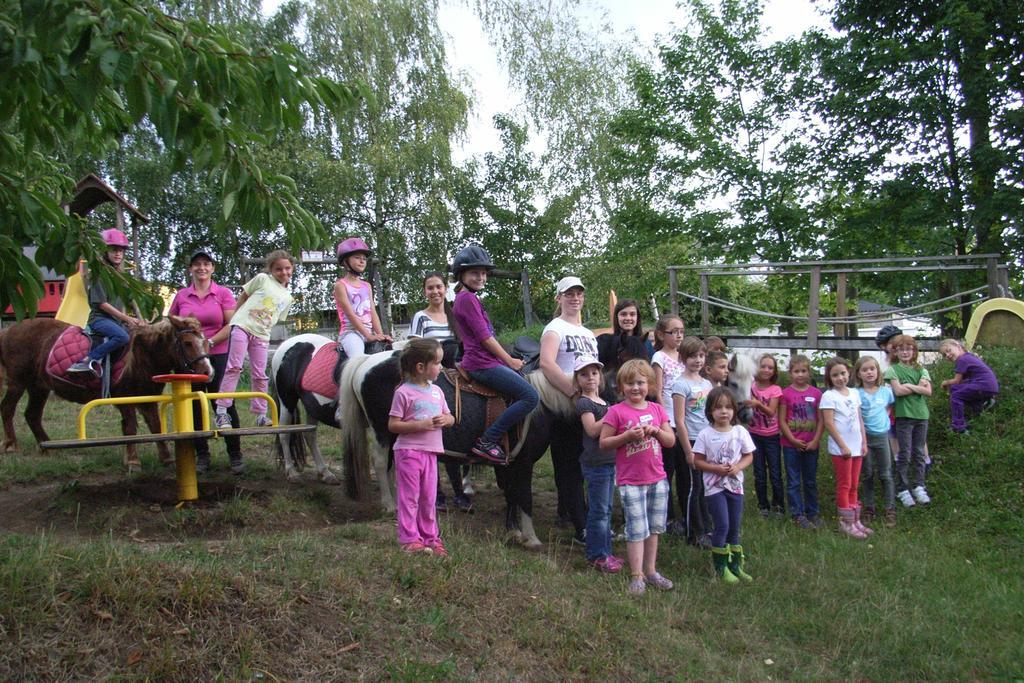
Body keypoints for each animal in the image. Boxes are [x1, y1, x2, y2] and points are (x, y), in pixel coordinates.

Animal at [0, 317, 212, 471]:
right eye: (187, 343)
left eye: (206, 343)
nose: (208, 371)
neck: (142, 354)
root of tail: (8, 331)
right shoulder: (126, 399)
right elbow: (130, 428)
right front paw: (133, 461)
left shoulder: (148, 398)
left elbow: (155, 426)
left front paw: (167, 459)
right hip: (18, 382)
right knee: (8, 409)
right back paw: (11, 445)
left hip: (39, 387)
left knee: (32, 415)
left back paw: (46, 445)